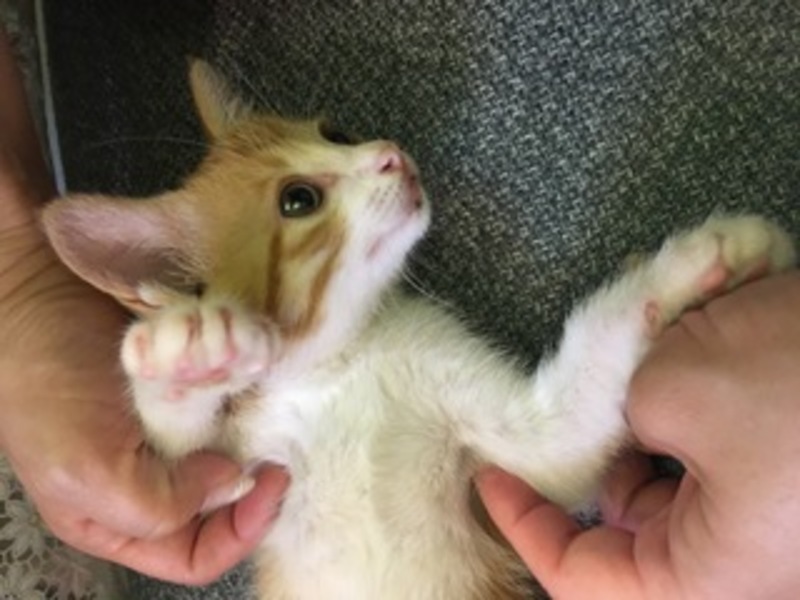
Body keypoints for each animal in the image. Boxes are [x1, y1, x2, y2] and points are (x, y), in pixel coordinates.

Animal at [42, 60, 797, 599]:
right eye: (298, 200)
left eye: (336, 131)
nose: (391, 152)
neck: (341, 365)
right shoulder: (232, 491)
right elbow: (183, 466)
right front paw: (185, 354)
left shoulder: (530, 447)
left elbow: (581, 392)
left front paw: (705, 264)